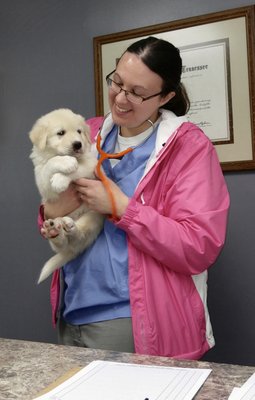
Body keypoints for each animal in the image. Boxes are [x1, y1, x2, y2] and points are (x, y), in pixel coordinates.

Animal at [30, 107, 104, 284]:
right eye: (61, 133)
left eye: (79, 131)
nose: (78, 144)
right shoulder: (42, 180)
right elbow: (50, 164)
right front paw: (65, 163)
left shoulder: (91, 164)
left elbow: (78, 168)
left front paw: (60, 179)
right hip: (54, 231)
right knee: (61, 244)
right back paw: (55, 230)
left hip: (93, 216)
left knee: (79, 235)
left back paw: (70, 226)